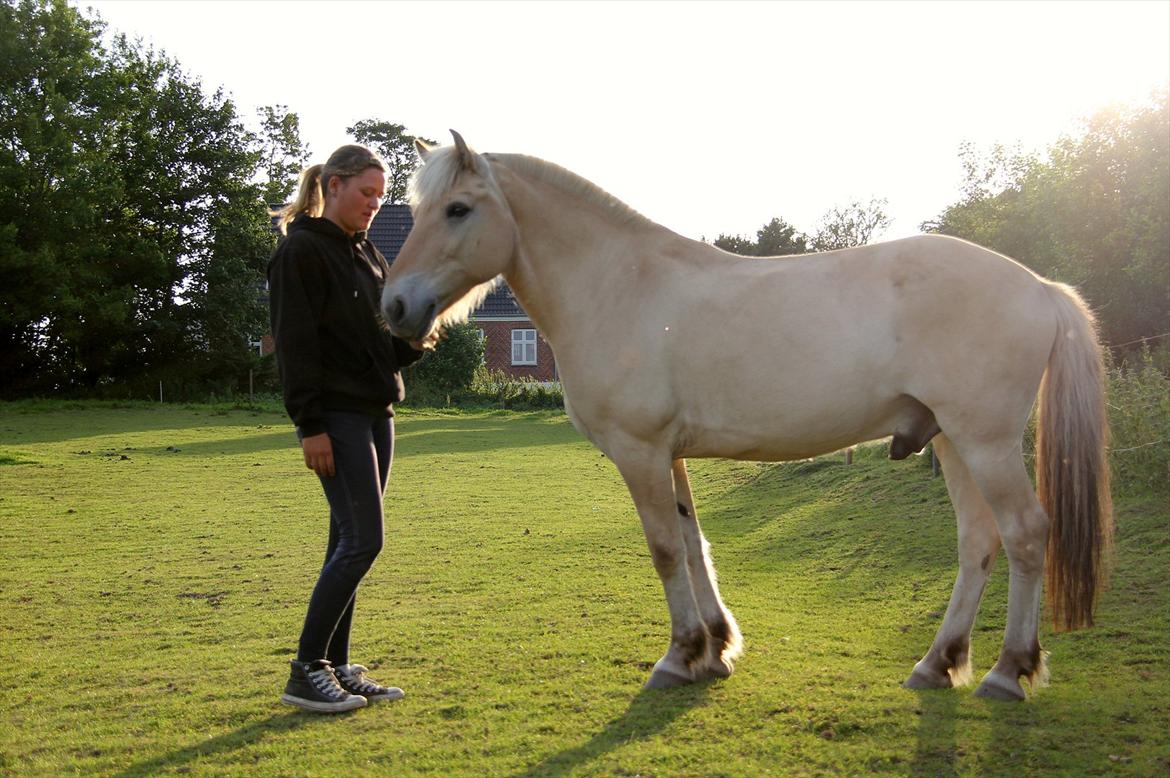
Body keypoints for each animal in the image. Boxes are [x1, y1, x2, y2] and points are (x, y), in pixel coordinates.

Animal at [383, 130, 1113, 701]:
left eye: (456, 209)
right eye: (418, 210)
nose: (394, 305)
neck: (621, 285)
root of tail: (1039, 287)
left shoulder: (639, 451)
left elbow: (664, 550)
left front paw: (679, 655)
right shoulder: (669, 453)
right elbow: (692, 543)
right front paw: (715, 647)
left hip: (985, 442)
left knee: (1025, 535)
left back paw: (1008, 671)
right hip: (955, 443)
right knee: (978, 542)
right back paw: (940, 662)